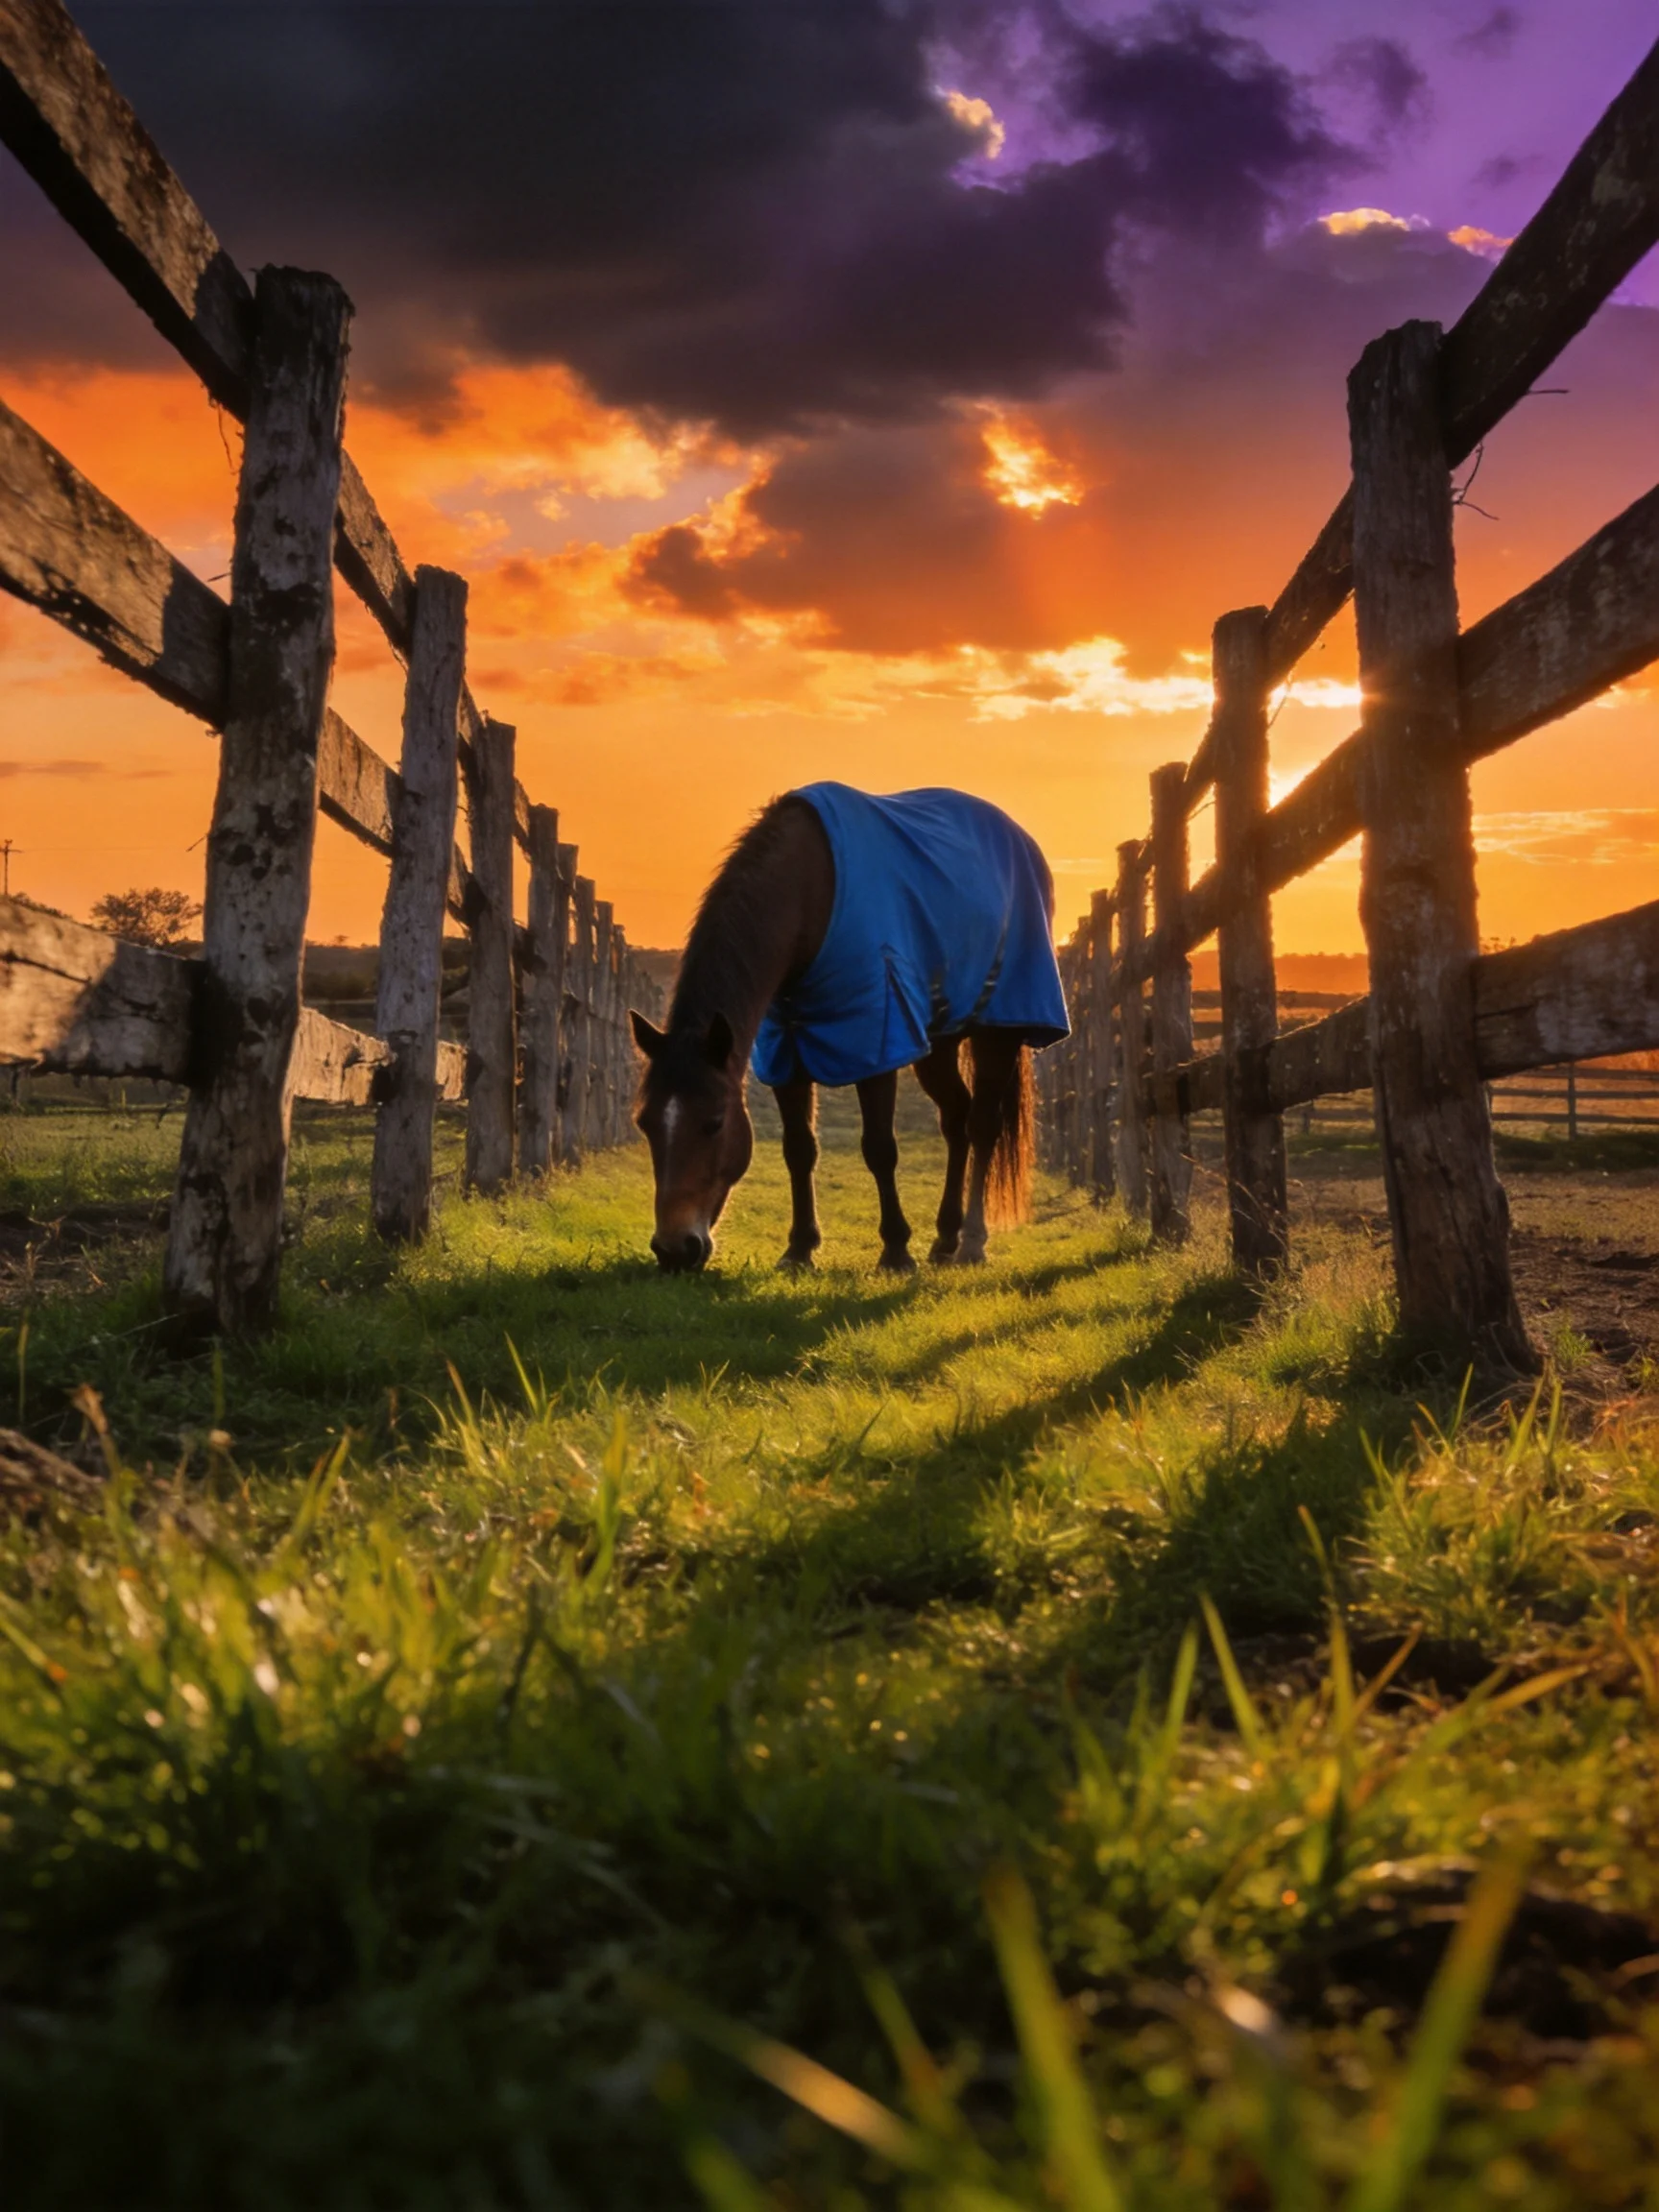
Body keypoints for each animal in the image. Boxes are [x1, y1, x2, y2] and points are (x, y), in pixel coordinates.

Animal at [630, 782, 1069, 1274]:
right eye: (646, 1124)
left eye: (713, 1123)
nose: (674, 1250)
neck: (809, 894)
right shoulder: (785, 1050)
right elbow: (799, 1149)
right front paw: (800, 1249)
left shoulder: (876, 1042)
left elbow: (879, 1148)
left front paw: (895, 1251)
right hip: (938, 1044)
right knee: (956, 1120)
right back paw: (944, 1238)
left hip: (999, 1031)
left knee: (982, 1126)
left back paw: (972, 1243)